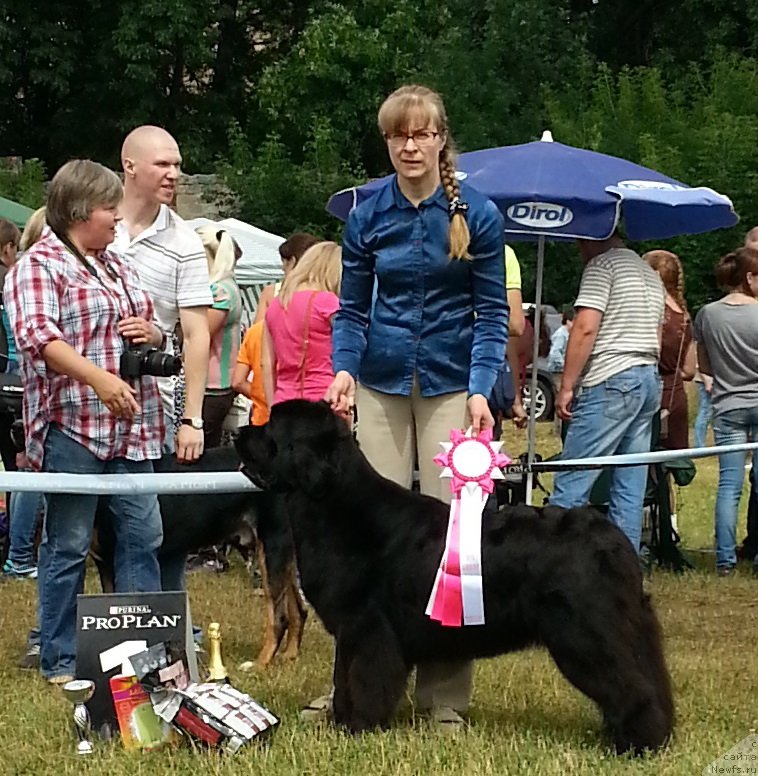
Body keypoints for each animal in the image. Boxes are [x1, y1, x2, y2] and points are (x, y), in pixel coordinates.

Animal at [238, 400, 676, 752]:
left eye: (271, 425)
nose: (239, 433)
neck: (332, 502)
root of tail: (612, 539)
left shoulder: (367, 629)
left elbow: (363, 679)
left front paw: (358, 726)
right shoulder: (353, 630)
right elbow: (343, 677)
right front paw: (342, 721)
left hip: (586, 633)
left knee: (628, 685)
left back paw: (638, 743)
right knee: (649, 676)